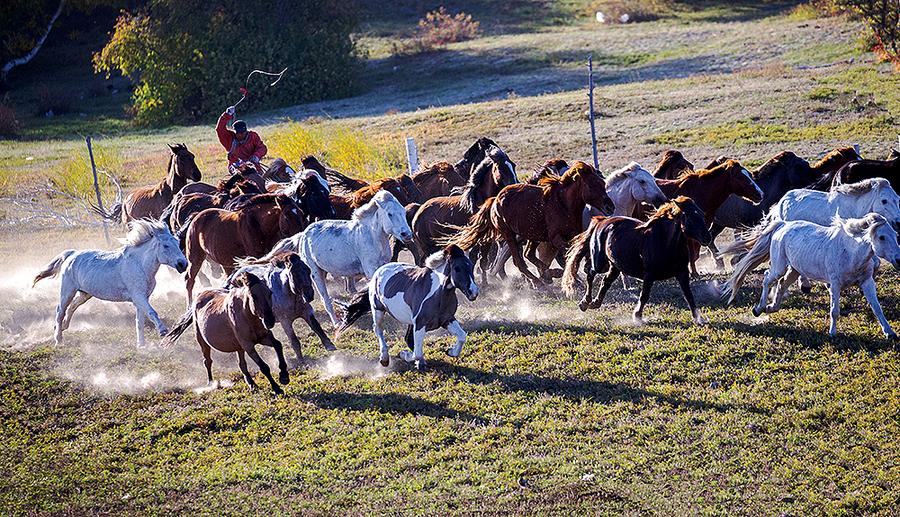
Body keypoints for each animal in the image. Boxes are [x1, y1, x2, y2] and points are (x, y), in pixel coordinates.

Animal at [32, 219, 188, 346]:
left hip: (85, 294)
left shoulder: (141, 299)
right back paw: (58, 339)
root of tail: (72, 254)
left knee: (72, 307)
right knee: (60, 311)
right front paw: (163, 331)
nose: (183, 264)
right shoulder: (138, 297)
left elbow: (140, 321)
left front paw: (141, 345)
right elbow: (152, 312)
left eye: (177, 243)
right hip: (67, 291)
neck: (139, 265)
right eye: (166, 246)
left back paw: (64, 327)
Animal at [250, 189, 412, 326]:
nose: (407, 234)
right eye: (390, 214)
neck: (373, 236)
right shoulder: (371, 270)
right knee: (325, 299)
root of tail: (303, 234)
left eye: (403, 212)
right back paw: (336, 322)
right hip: (316, 274)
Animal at [454, 159, 616, 288]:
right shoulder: (556, 238)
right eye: (591, 185)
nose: (610, 207)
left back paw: (546, 276)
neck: (563, 204)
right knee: (519, 261)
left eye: (602, 183)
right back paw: (538, 281)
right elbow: (569, 254)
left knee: (528, 254)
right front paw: (571, 276)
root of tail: (495, 199)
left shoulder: (573, 235)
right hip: (510, 235)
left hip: (533, 235)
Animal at [560, 197, 712, 322]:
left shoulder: (682, 272)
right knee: (590, 273)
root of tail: (602, 221)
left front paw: (699, 318)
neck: (666, 242)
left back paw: (595, 303)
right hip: (600, 262)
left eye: (701, 214)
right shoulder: (649, 275)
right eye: (691, 217)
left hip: (615, 266)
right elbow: (644, 295)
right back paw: (585, 302)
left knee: (606, 281)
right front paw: (637, 316)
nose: (708, 237)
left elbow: (689, 295)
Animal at [724, 214, 900, 338]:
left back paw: (771, 307)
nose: (898, 259)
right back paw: (759, 308)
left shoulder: (867, 282)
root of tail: (783, 224)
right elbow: (834, 310)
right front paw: (832, 333)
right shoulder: (835, 284)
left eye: (895, 234)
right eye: (881, 237)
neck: (851, 253)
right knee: (768, 278)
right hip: (779, 266)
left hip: (794, 270)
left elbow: (877, 308)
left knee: (781, 284)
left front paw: (890, 333)